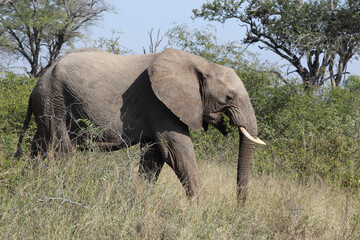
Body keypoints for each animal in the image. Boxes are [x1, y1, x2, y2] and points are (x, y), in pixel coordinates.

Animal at [16, 48, 264, 202]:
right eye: (229, 97)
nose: (239, 205)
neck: (201, 63)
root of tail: (37, 83)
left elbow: (154, 156)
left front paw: (139, 201)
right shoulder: (160, 105)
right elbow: (177, 151)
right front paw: (203, 208)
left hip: (47, 105)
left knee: (39, 148)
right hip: (54, 102)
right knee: (62, 151)